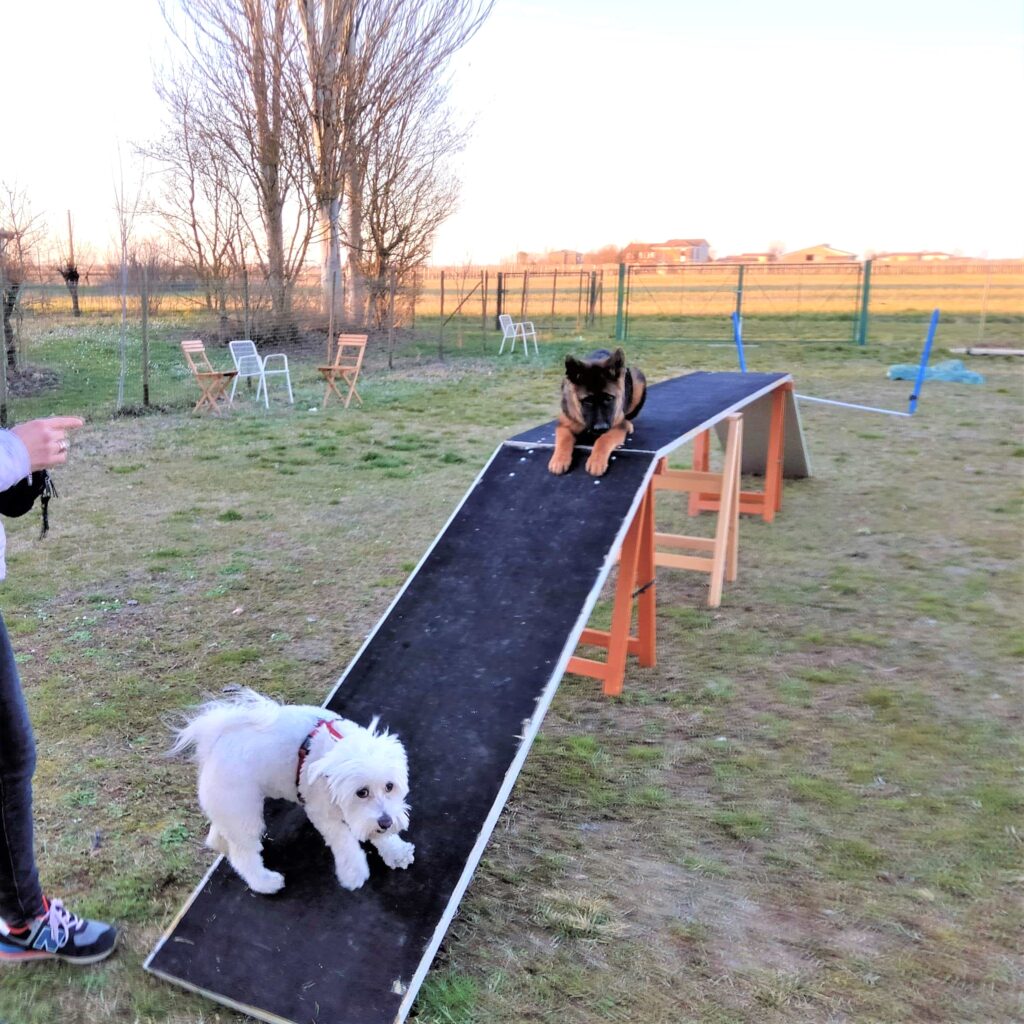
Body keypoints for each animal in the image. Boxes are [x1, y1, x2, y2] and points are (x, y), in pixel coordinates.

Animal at [173, 688, 415, 897]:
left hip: (232, 810)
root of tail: (213, 747)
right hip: (241, 810)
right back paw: (265, 882)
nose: (386, 822)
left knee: (220, 838)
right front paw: (354, 872)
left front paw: (396, 852)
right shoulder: (321, 811)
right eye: (361, 792)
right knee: (242, 855)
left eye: (390, 786)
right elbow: (344, 840)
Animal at [548, 346, 643, 477]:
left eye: (609, 398)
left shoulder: (616, 426)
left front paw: (596, 461)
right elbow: (564, 438)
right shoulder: (564, 424)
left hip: (638, 379)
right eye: (587, 401)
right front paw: (559, 459)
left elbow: (604, 438)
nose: (600, 428)